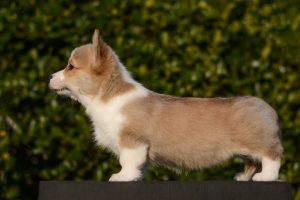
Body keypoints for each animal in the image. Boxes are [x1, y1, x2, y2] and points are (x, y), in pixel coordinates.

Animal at [48, 29, 282, 181]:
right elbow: (140, 166)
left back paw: (265, 177)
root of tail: (266, 107)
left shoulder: (132, 142)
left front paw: (122, 177)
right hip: (247, 149)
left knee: (272, 157)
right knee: (252, 162)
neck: (107, 96)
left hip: (259, 142)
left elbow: (128, 162)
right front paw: (135, 177)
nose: (49, 76)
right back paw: (242, 177)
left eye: (70, 67)